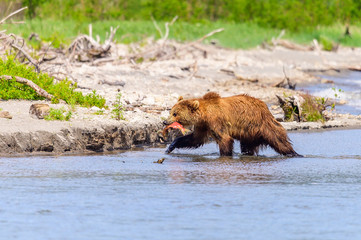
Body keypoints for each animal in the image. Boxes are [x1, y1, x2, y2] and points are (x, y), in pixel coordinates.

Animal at [162, 91, 298, 157]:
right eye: (171, 112)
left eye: (175, 113)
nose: (165, 121)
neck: (204, 115)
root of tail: (265, 107)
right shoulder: (203, 125)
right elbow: (195, 139)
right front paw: (170, 147)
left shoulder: (216, 121)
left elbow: (224, 139)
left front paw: (225, 155)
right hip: (249, 134)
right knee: (247, 146)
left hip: (262, 125)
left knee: (279, 140)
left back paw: (294, 153)